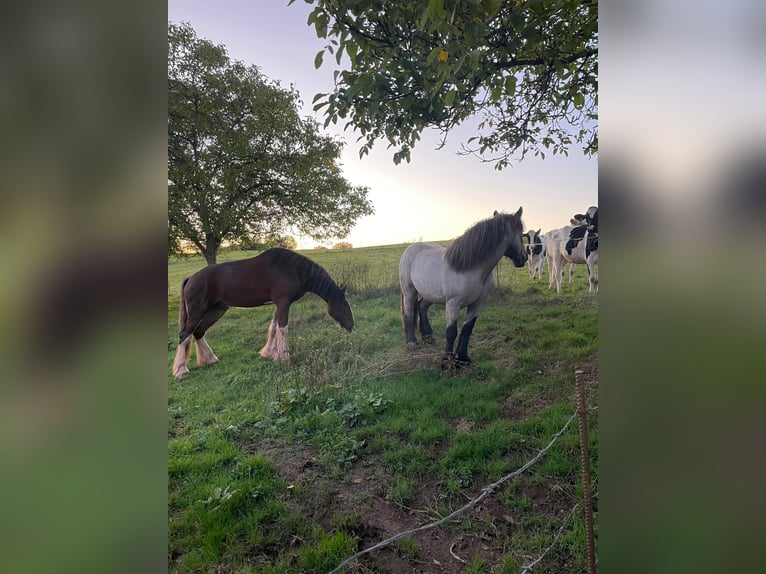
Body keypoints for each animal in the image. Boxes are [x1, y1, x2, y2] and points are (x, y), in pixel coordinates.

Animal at [172, 246, 354, 378]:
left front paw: (269, 353)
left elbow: (274, 327)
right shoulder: (283, 302)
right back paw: (181, 371)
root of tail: (191, 278)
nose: (351, 326)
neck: (293, 269)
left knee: (199, 332)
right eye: (345, 306)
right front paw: (284, 357)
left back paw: (210, 359)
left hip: (217, 310)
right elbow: (283, 329)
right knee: (184, 334)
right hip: (197, 313)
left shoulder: (279, 304)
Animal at [400, 209, 532, 366]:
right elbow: (451, 332)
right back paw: (411, 343)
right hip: (409, 292)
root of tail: (410, 249)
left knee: (422, 307)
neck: (470, 268)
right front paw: (448, 360)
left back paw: (428, 337)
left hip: (430, 294)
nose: (523, 258)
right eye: (521, 233)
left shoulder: (478, 304)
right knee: (409, 314)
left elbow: (467, 329)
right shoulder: (452, 304)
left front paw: (462, 357)